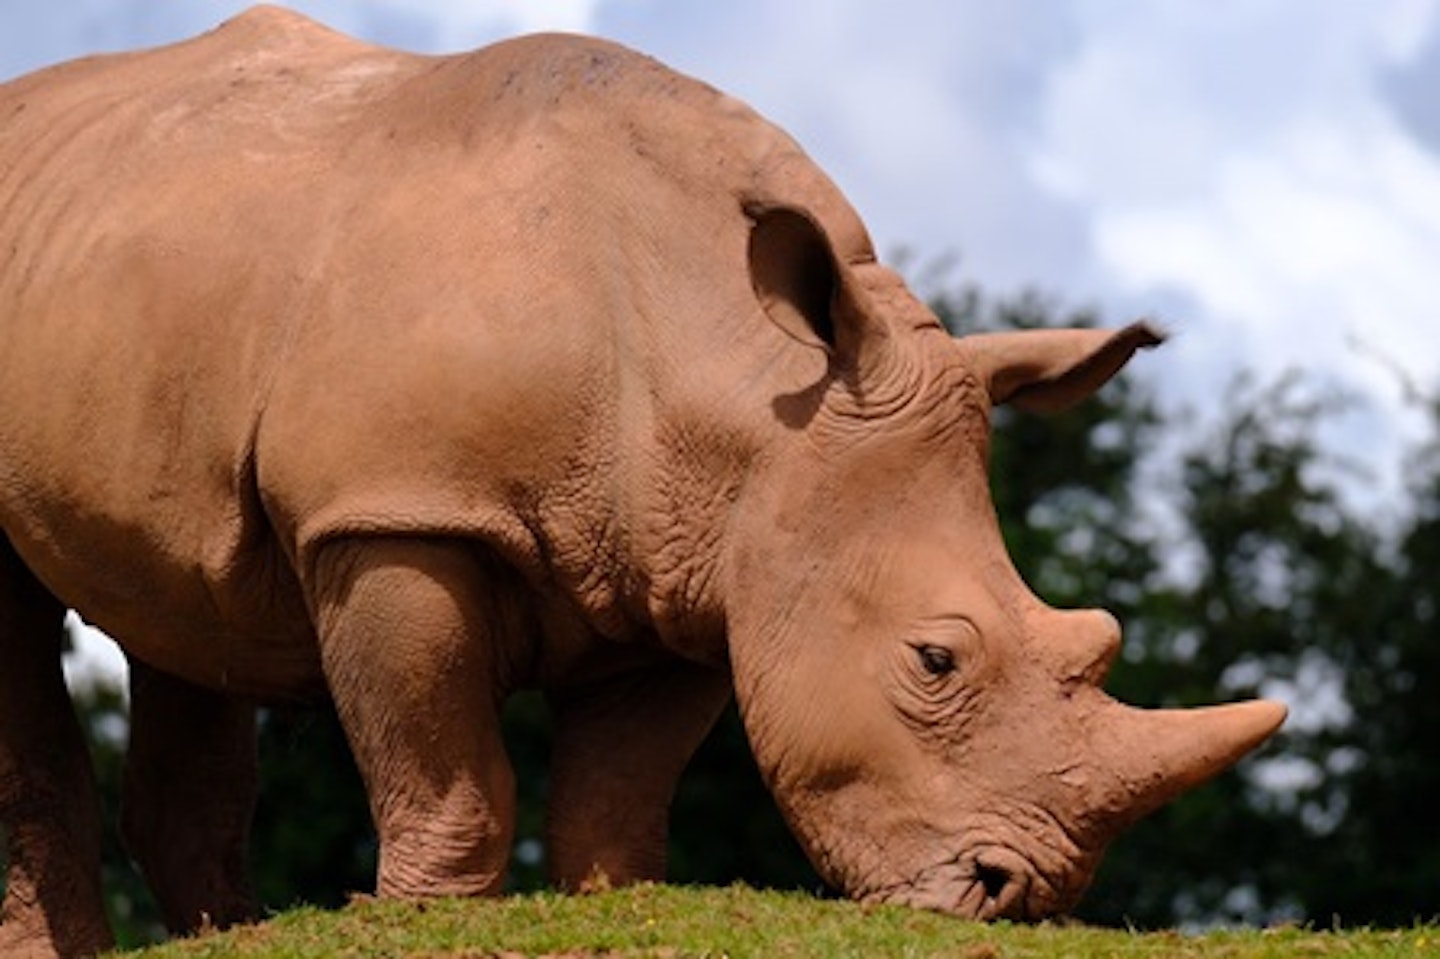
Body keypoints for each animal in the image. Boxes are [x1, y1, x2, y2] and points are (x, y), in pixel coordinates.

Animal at [0, 6, 1286, 956]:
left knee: (182, 607)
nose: (1020, 892)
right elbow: (446, 761)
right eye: (935, 659)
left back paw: (226, 930)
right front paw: (428, 914)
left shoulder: (689, 559)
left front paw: (609, 905)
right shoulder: (394, 509)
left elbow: (619, 796)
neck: (751, 382)